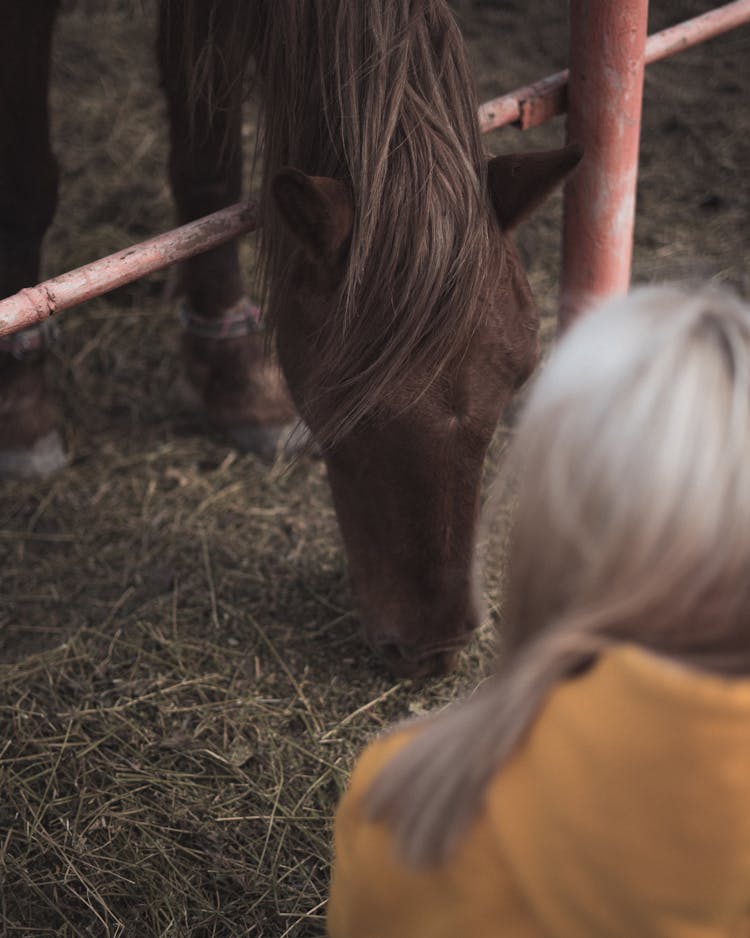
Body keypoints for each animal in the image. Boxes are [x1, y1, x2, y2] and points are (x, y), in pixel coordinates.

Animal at [0, 0, 580, 672]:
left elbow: (207, 168)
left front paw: (235, 376)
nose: (436, 648)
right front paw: (20, 403)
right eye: (354, 406)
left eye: (518, 377)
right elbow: (24, 182)